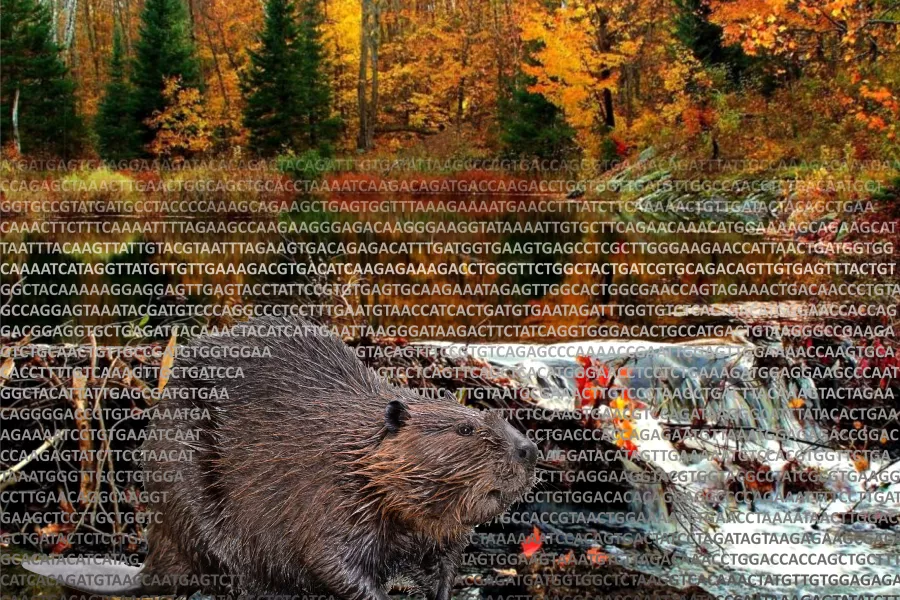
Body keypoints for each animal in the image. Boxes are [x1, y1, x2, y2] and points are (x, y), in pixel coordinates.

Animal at [129, 316, 536, 596]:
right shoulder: (331, 495)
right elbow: (330, 561)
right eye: (465, 429)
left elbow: (443, 566)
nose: (529, 450)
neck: (357, 449)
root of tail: (150, 565)